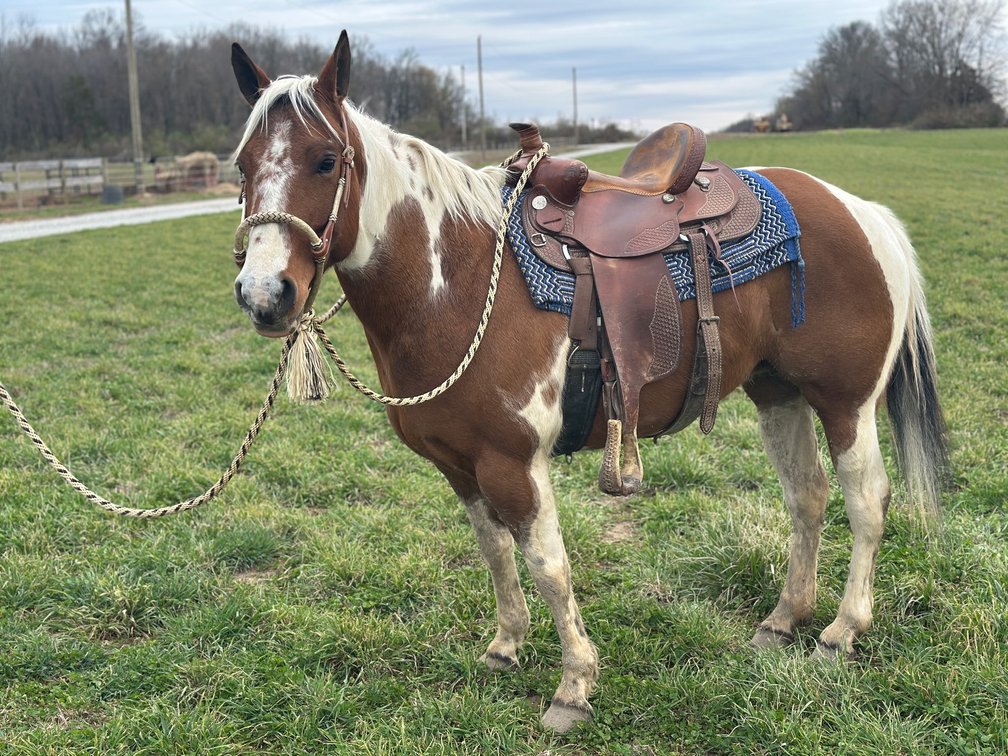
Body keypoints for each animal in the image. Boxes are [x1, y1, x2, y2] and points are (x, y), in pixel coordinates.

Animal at [229, 32, 949, 732]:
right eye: (241, 167)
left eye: (326, 160)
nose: (265, 294)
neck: (454, 283)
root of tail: (860, 210)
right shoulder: (460, 465)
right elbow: (495, 552)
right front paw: (505, 646)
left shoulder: (514, 462)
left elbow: (548, 566)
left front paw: (574, 686)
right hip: (779, 393)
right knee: (807, 496)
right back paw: (783, 620)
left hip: (846, 403)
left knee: (867, 501)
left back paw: (841, 630)